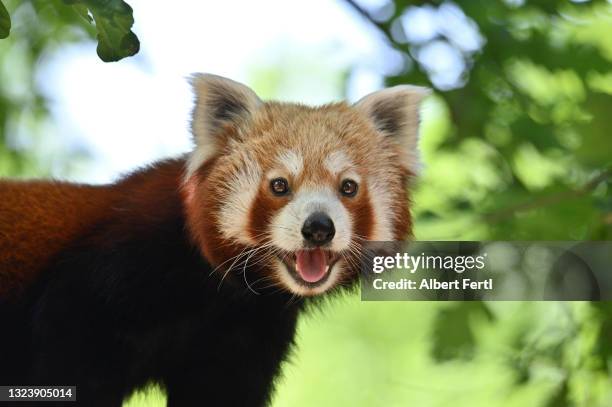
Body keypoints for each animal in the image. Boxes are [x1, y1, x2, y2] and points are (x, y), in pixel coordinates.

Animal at [0, 75, 426, 406]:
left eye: (348, 188)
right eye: (279, 185)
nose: (319, 227)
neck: (213, 295)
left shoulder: (245, 337)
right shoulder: (101, 281)